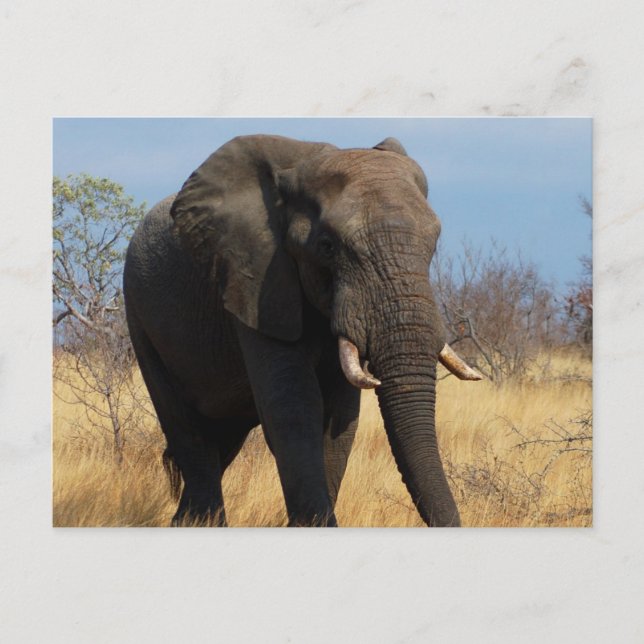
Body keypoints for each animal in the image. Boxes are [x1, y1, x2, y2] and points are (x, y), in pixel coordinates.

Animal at [123, 134, 481, 528]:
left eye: (432, 245)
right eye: (327, 247)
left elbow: (340, 417)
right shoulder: (256, 279)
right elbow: (294, 406)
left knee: (223, 438)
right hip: (139, 315)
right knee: (187, 428)